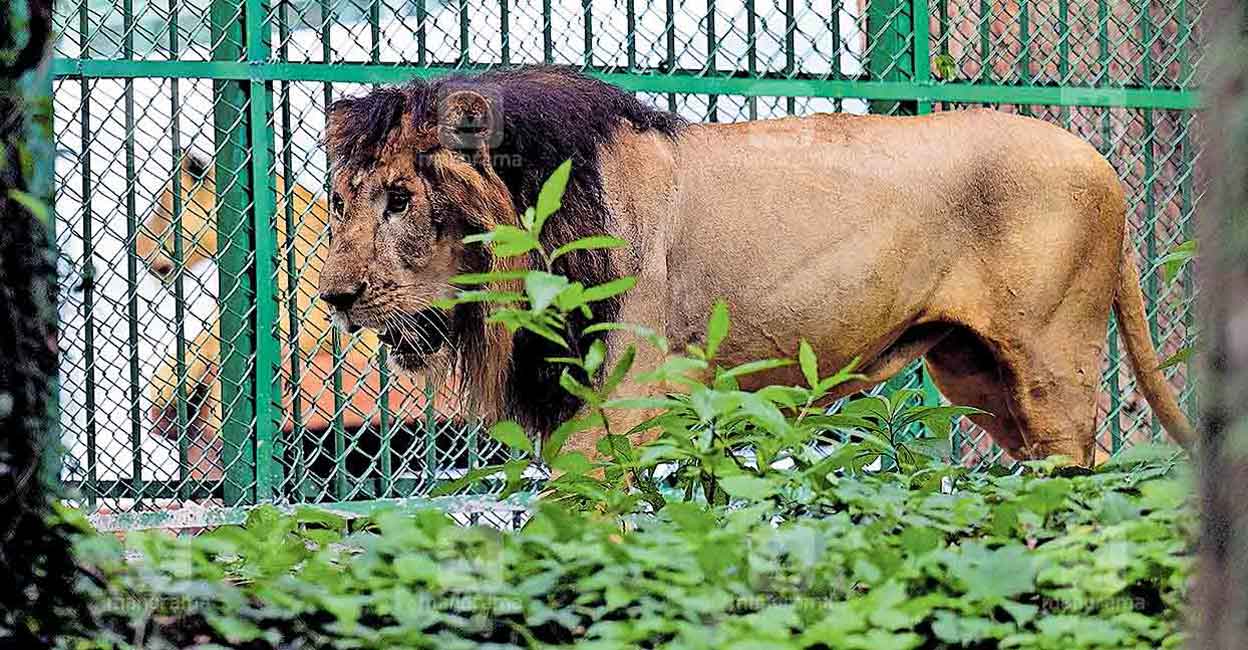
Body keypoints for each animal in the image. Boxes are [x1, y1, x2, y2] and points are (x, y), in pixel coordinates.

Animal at [316, 65, 1193, 464]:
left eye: (400, 199)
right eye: (340, 199)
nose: (335, 298)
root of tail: (1104, 165)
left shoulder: (615, 408)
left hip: (1052, 367)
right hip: (977, 374)